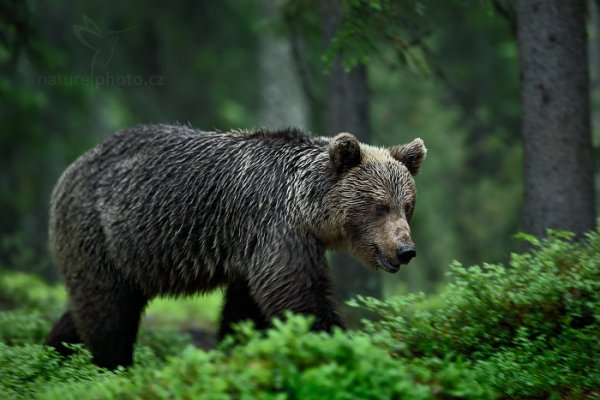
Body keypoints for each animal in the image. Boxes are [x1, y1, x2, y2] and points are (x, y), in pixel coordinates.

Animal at [44, 126, 424, 368]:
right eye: (379, 206)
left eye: (407, 205)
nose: (405, 251)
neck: (307, 209)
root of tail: (71, 169)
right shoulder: (275, 228)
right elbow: (300, 296)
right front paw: (347, 345)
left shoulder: (250, 250)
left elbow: (245, 309)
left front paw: (233, 347)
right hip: (100, 232)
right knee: (107, 313)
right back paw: (109, 366)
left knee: (88, 307)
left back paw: (51, 355)